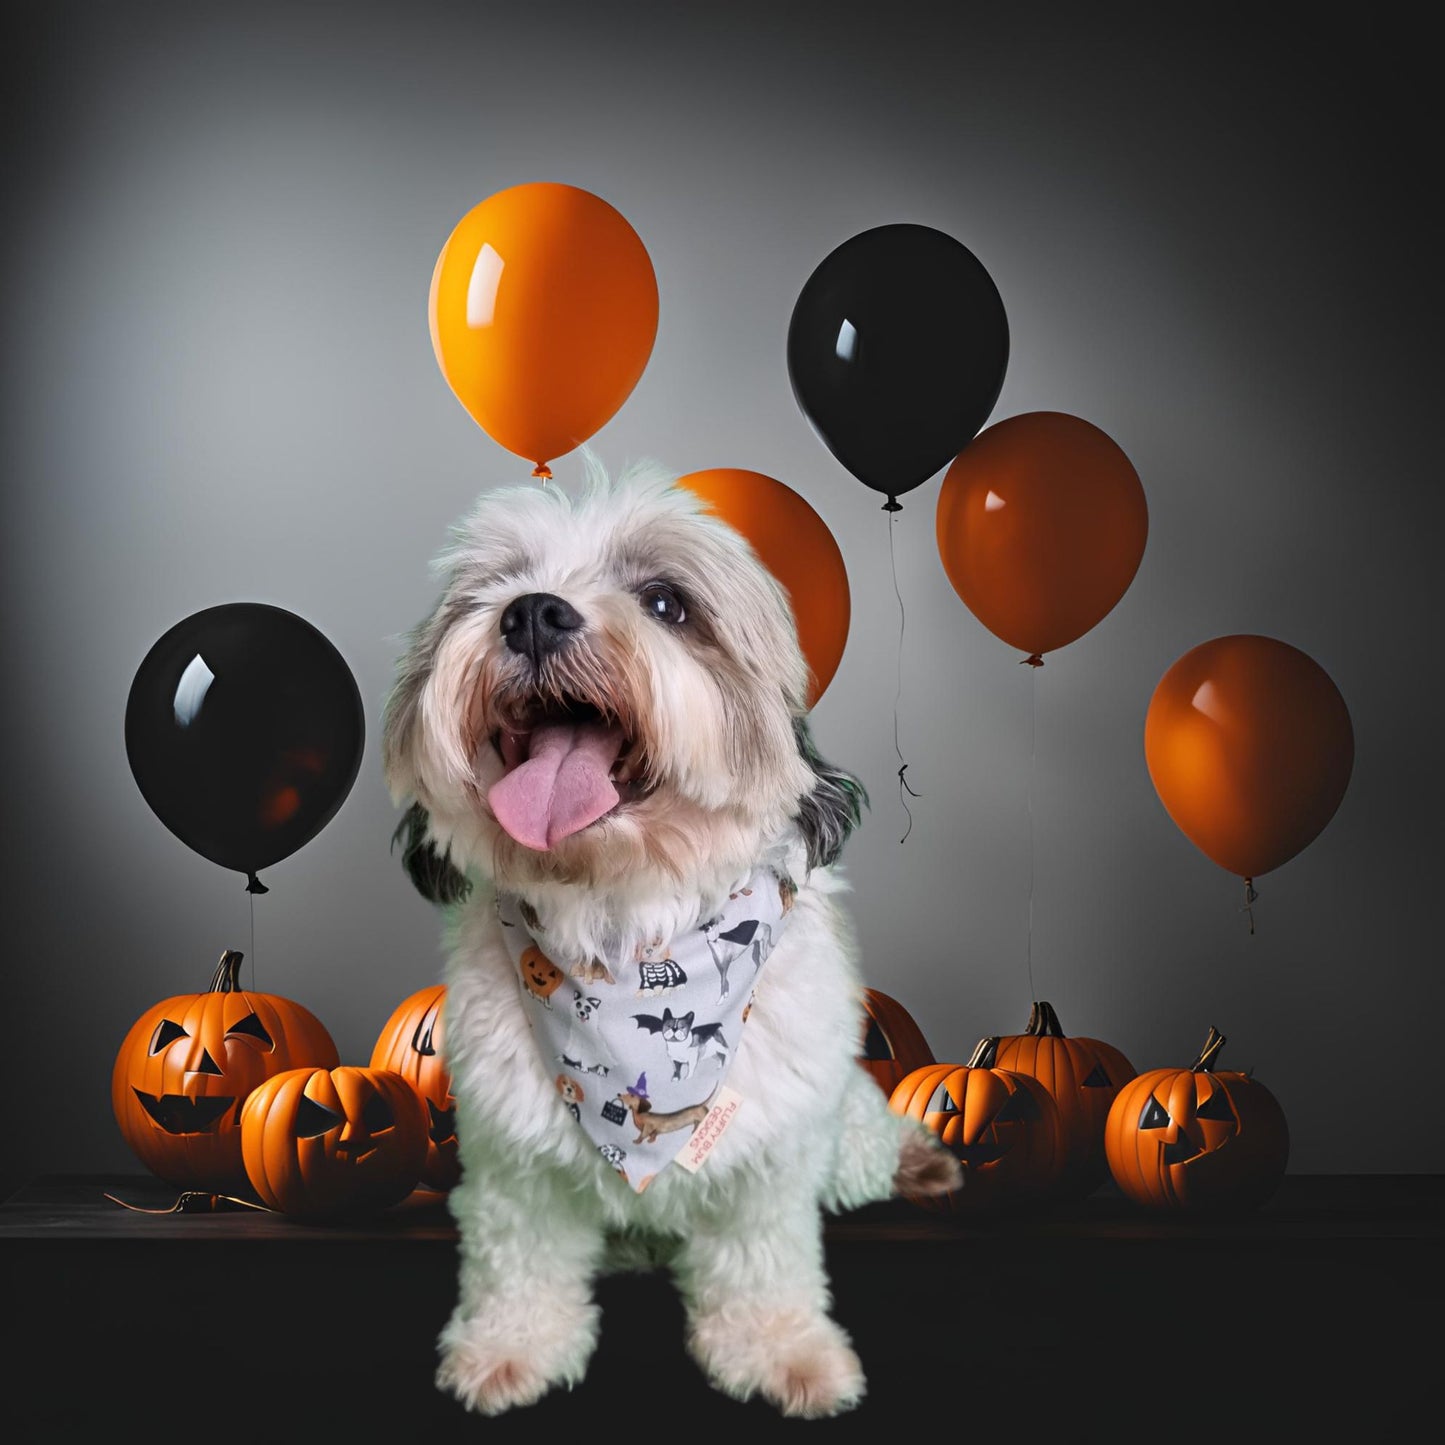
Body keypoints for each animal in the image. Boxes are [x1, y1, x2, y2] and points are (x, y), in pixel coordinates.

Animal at [384, 456, 965, 1416]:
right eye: (496, 584)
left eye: (665, 601)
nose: (531, 611)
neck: (625, 937)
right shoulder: (514, 1161)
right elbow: (519, 1257)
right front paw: (510, 1346)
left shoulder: (768, 1160)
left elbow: (764, 1261)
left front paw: (782, 1351)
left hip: (841, 1133)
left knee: (868, 1145)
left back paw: (916, 1160)